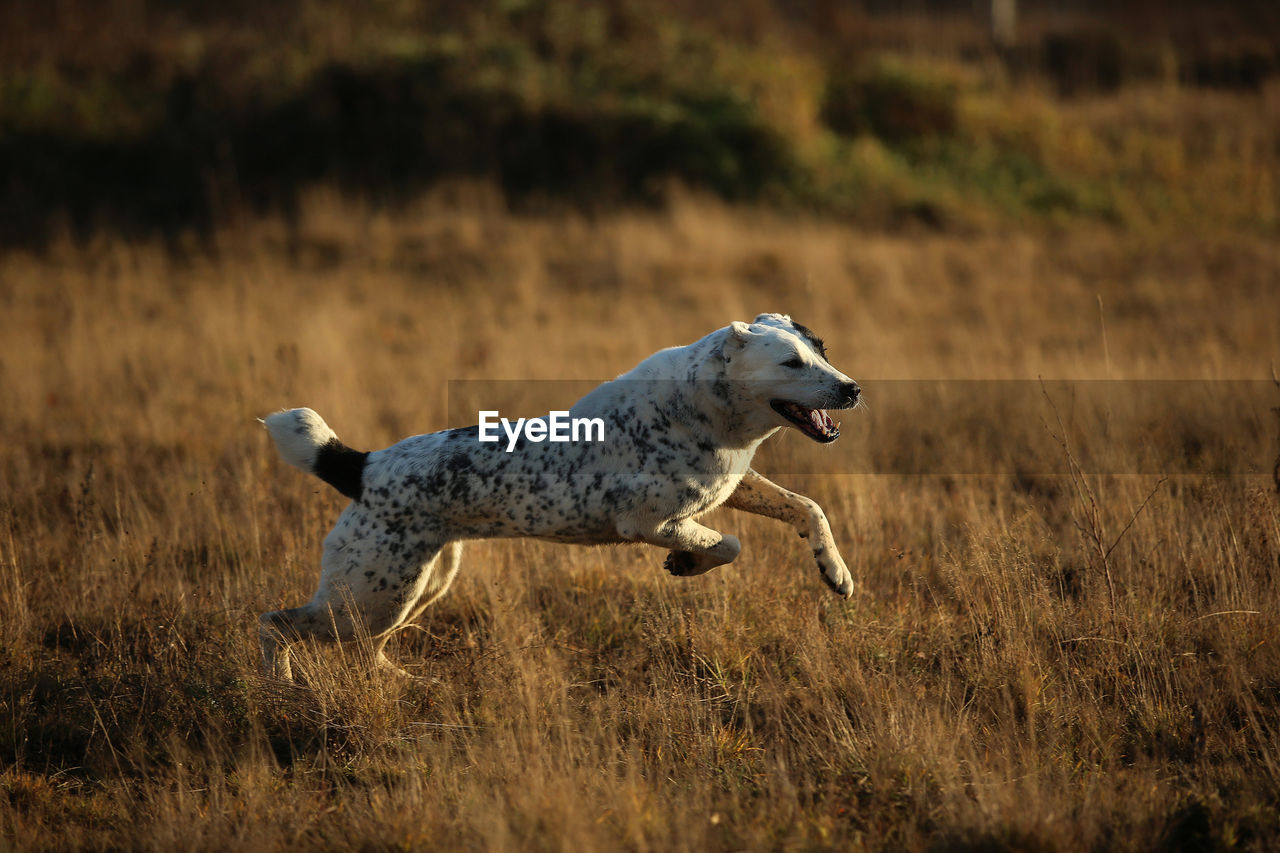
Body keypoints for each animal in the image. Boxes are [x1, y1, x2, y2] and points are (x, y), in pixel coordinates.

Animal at [258, 312, 860, 676]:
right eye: (791, 362)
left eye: (824, 351)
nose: (853, 388)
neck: (708, 404)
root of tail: (362, 464)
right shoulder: (648, 523)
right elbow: (728, 545)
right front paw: (687, 564)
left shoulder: (733, 487)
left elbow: (808, 509)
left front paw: (835, 572)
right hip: (370, 594)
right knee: (275, 624)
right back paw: (281, 685)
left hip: (415, 587)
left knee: (363, 648)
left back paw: (404, 682)